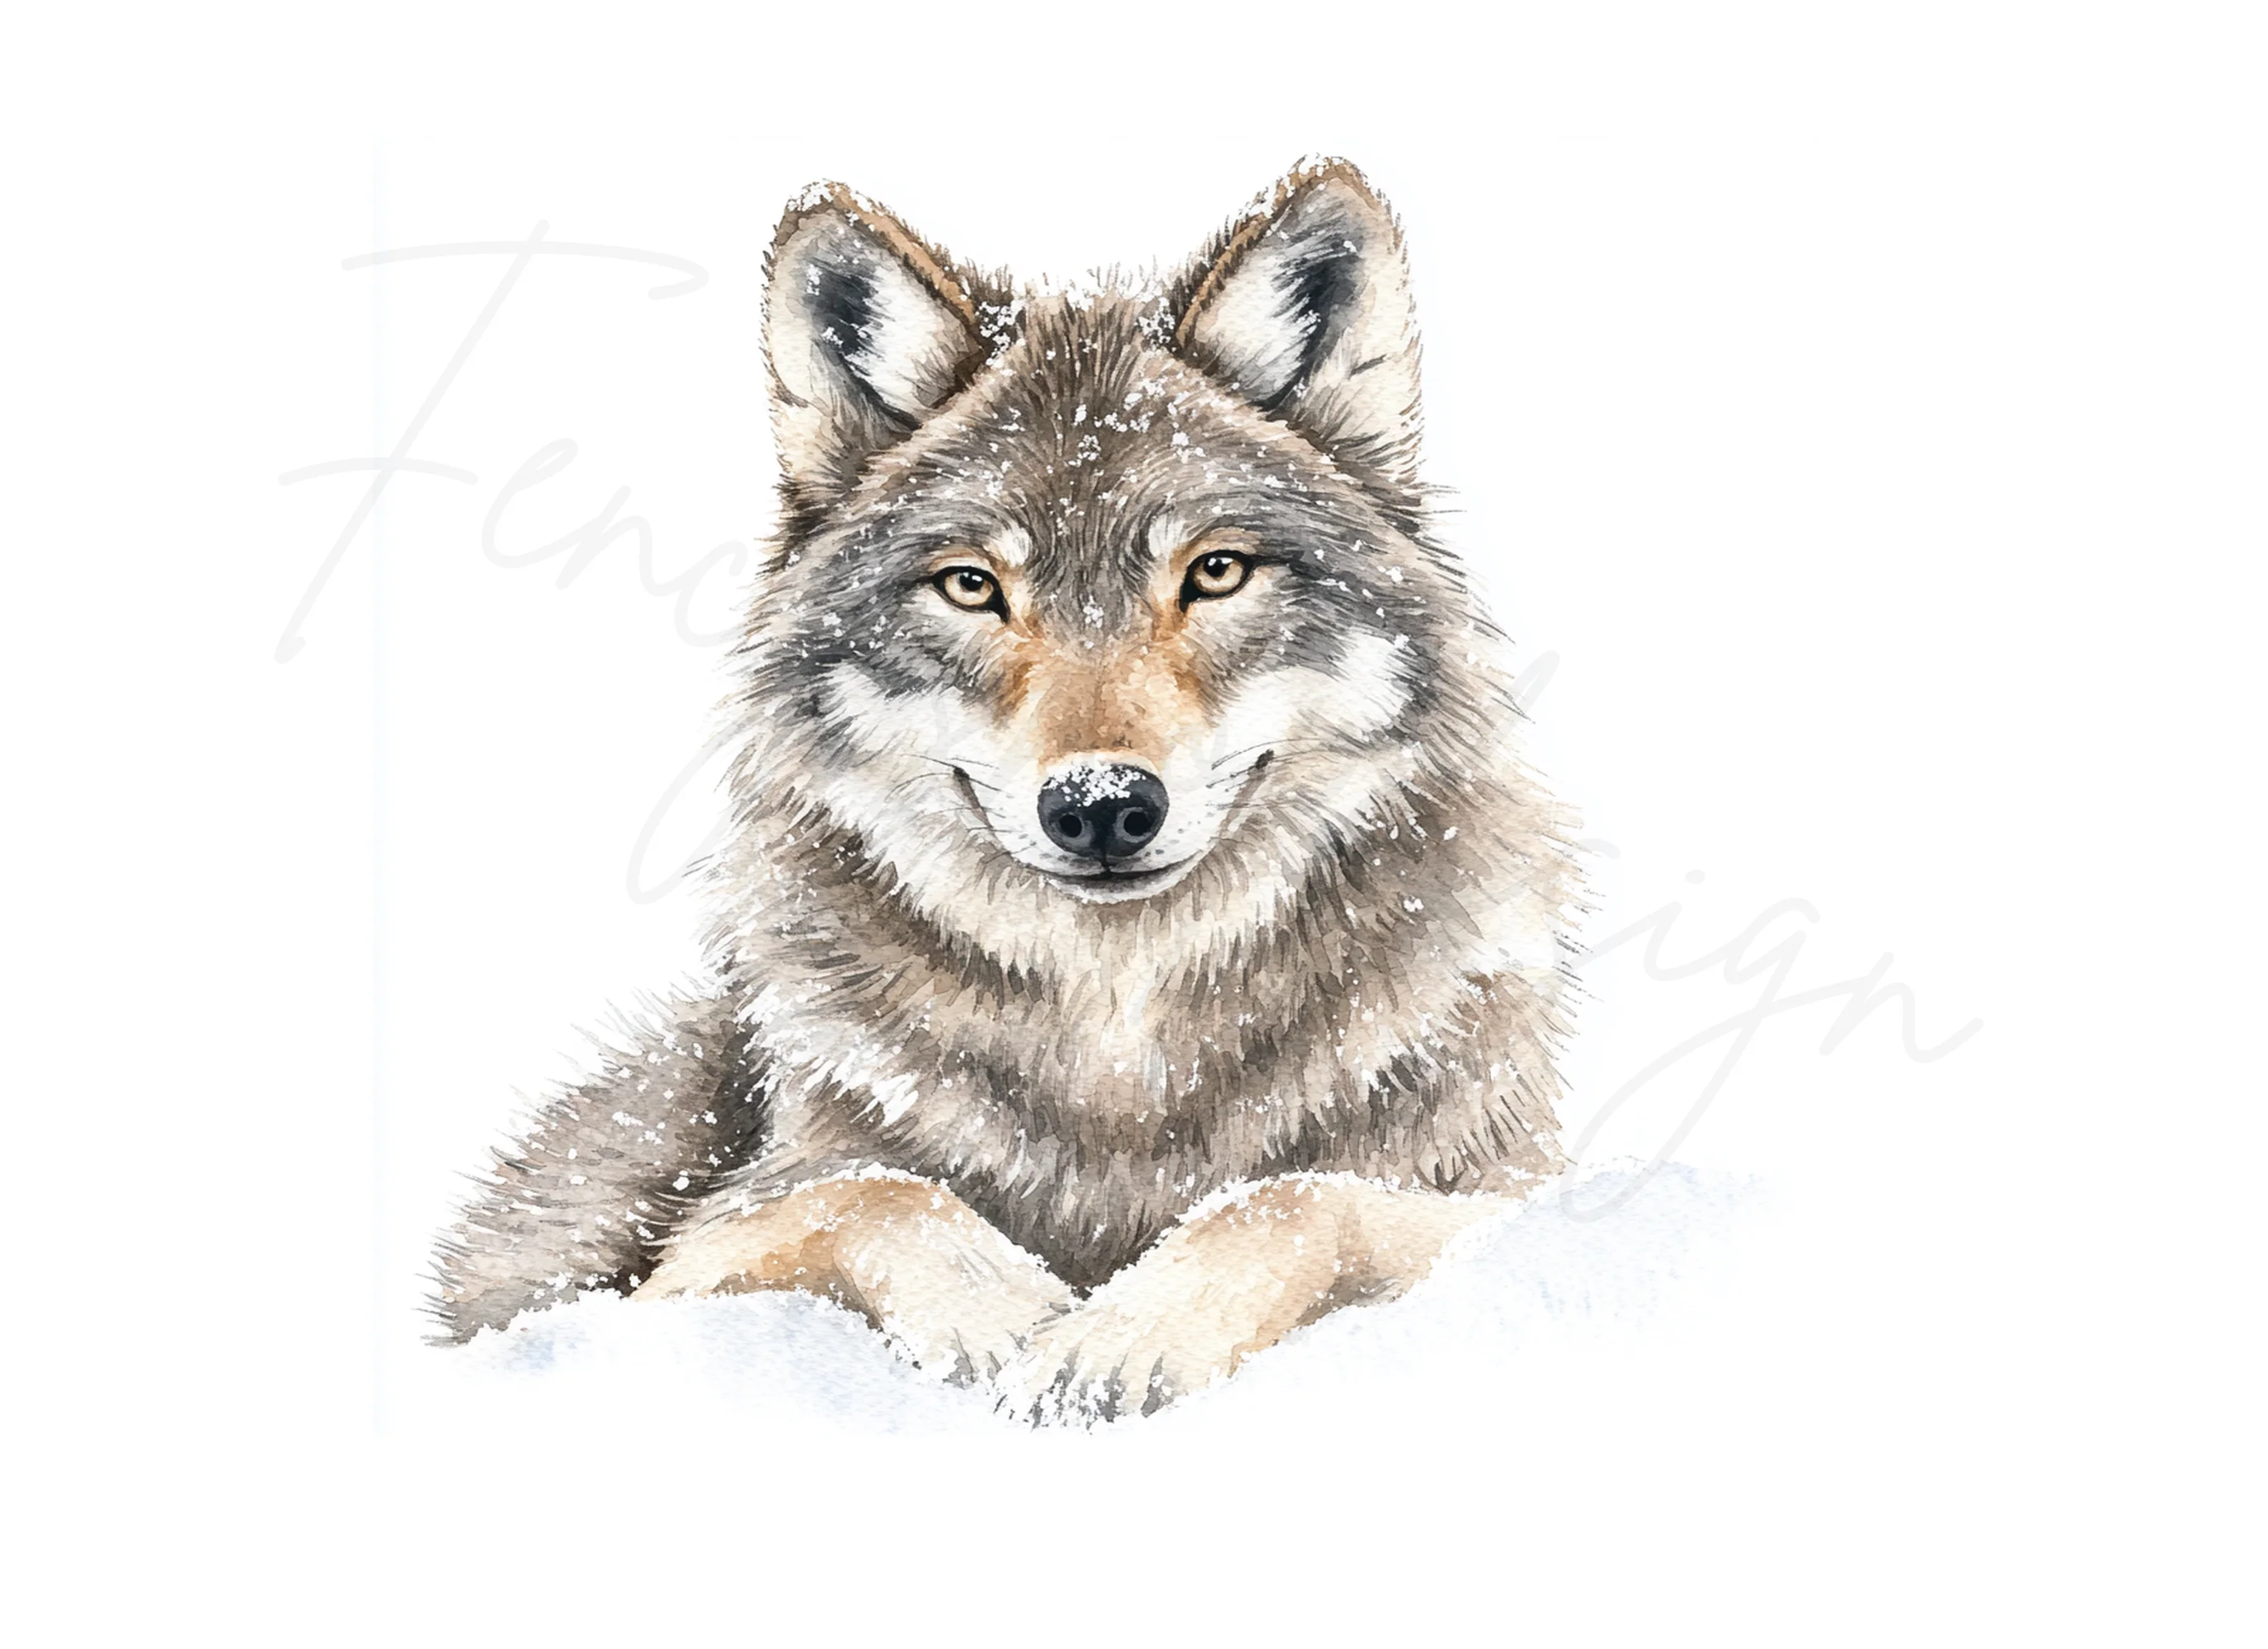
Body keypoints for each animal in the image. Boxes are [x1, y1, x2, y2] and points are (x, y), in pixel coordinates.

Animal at [431, 158, 1583, 1421]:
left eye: (1215, 572)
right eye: (972, 586)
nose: (1101, 803)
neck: (1122, 1050)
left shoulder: (1516, 1194)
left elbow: (1287, 1195)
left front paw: (1121, 1338)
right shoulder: (674, 1266)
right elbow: (869, 1190)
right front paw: (1013, 1316)